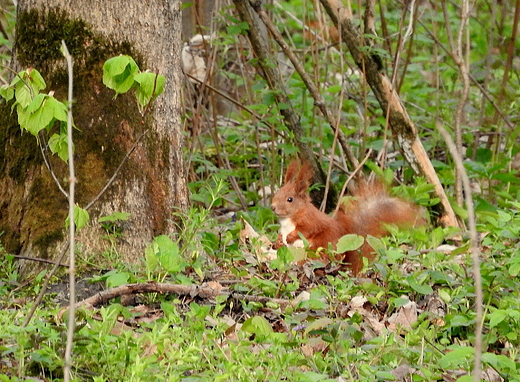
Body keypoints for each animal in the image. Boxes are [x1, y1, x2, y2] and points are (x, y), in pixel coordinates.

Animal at [270, 160, 424, 274]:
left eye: (290, 199)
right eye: (277, 193)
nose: (273, 207)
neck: (289, 217)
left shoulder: (310, 221)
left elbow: (307, 230)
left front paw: (290, 237)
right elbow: (281, 235)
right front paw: (279, 241)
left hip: (318, 249)